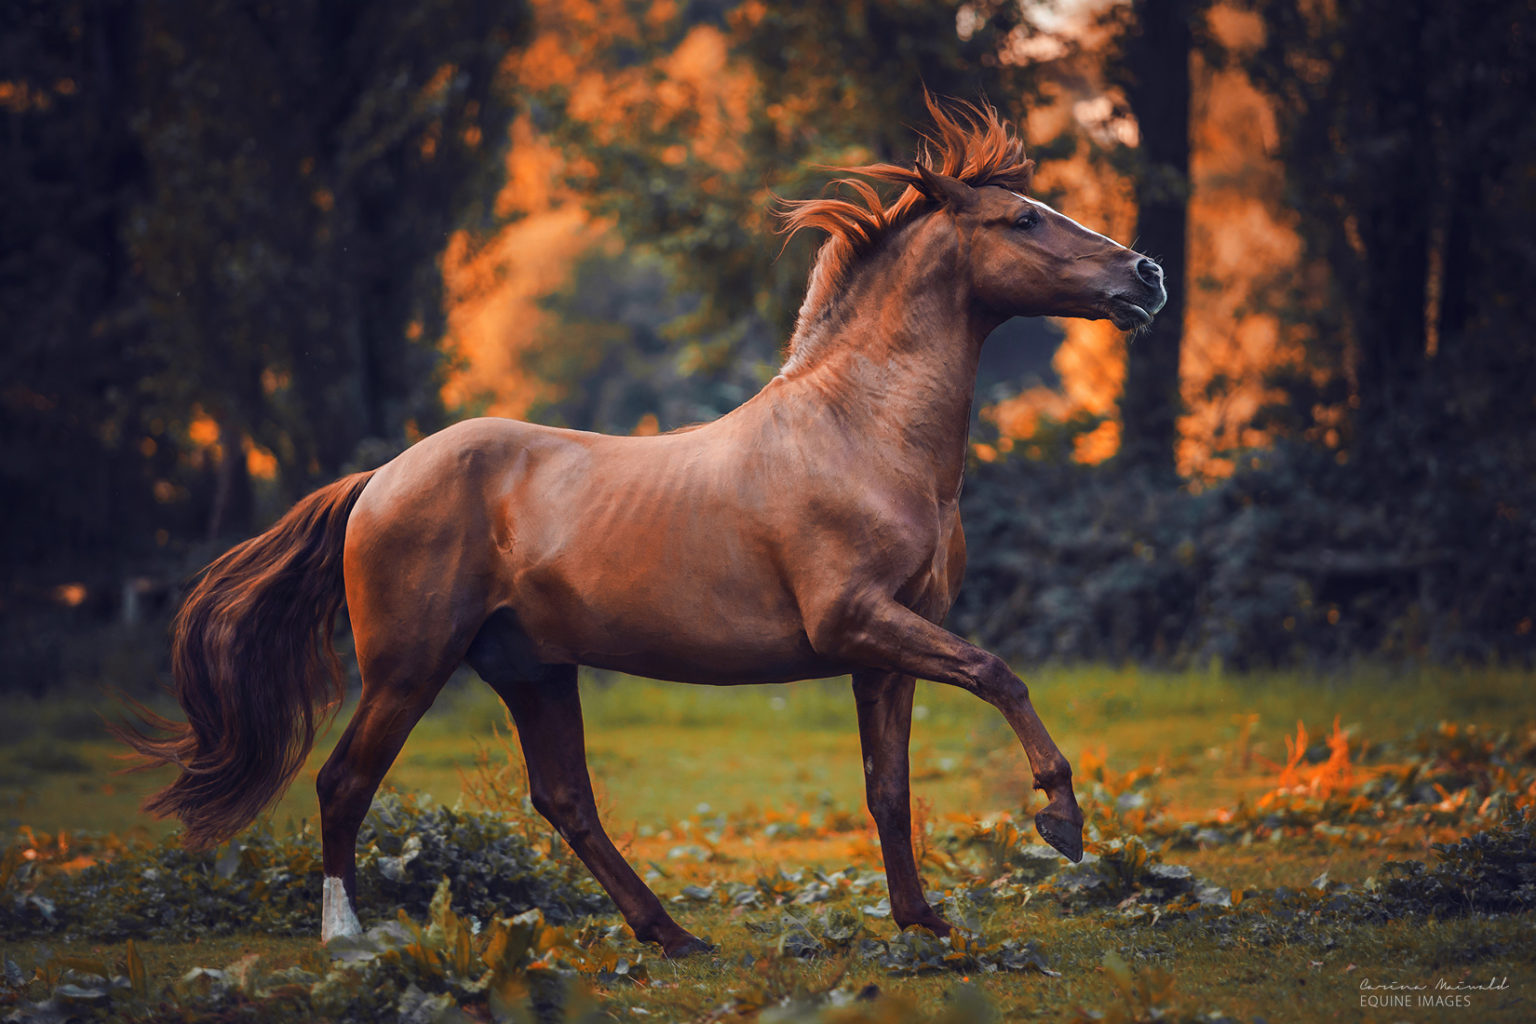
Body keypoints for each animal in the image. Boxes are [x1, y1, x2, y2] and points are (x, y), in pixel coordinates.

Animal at [118, 97, 1166, 958]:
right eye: (1022, 219)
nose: (1147, 274)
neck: (861, 435)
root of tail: (381, 477)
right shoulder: (857, 621)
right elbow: (998, 673)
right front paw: (1063, 823)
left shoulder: (886, 651)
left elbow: (890, 787)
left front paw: (924, 922)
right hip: (410, 667)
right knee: (344, 782)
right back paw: (348, 936)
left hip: (533, 668)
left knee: (564, 800)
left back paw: (672, 934)